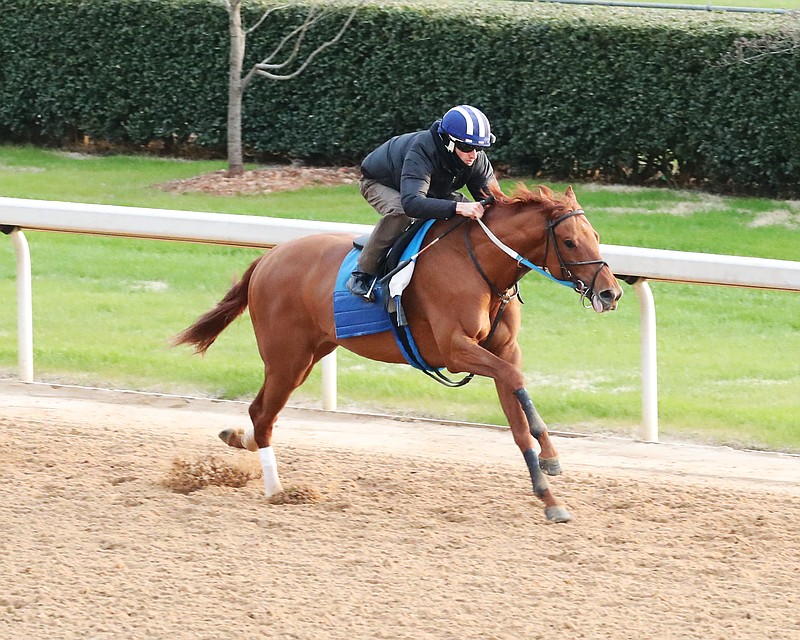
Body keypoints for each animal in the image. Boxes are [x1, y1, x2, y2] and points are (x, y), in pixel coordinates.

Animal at [173, 182, 624, 524]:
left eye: (597, 237)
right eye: (570, 241)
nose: (611, 293)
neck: (480, 266)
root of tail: (268, 257)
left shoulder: (503, 351)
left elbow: (516, 420)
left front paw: (549, 496)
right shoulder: (455, 349)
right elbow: (517, 383)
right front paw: (552, 459)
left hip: (308, 356)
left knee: (258, 412)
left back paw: (239, 439)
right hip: (288, 359)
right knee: (265, 416)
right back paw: (277, 490)